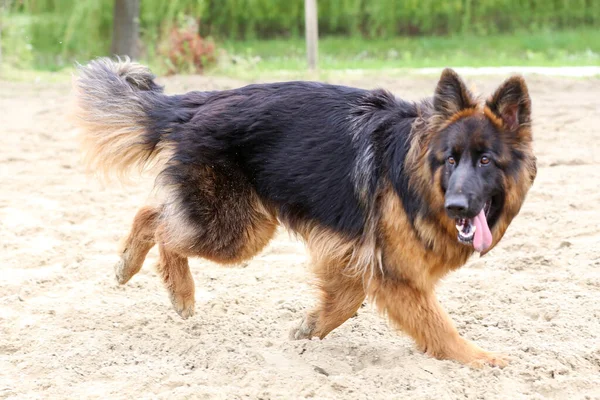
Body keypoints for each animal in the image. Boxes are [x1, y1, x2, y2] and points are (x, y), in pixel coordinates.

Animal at [70, 57, 536, 368]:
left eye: (486, 161)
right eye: (450, 160)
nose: (456, 205)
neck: (417, 174)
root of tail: (204, 101)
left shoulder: (354, 254)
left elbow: (346, 300)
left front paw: (310, 327)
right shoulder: (395, 273)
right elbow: (437, 324)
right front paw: (479, 359)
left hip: (242, 222)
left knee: (153, 213)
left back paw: (131, 266)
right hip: (235, 230)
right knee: (164, 228)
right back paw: (175, 289)